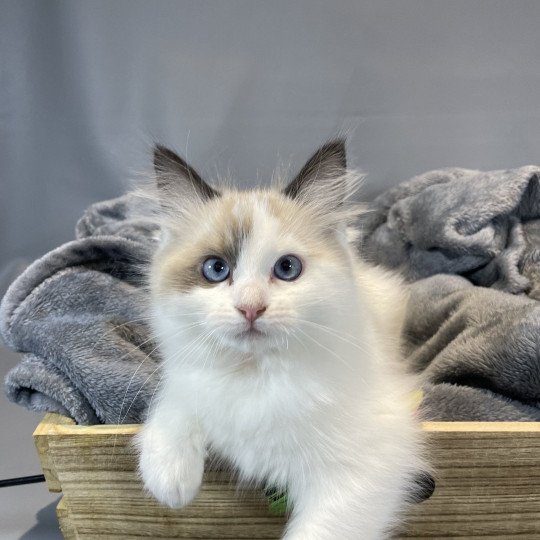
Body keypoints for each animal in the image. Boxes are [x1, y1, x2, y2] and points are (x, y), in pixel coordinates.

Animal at [137, 141, 428, 536]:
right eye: (216, 269)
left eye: (287, 268)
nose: (250, 308)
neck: (254, 376)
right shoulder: (188, 377)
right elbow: (175, 403)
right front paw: (170, 480)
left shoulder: (369, 464)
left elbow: (317, 532)